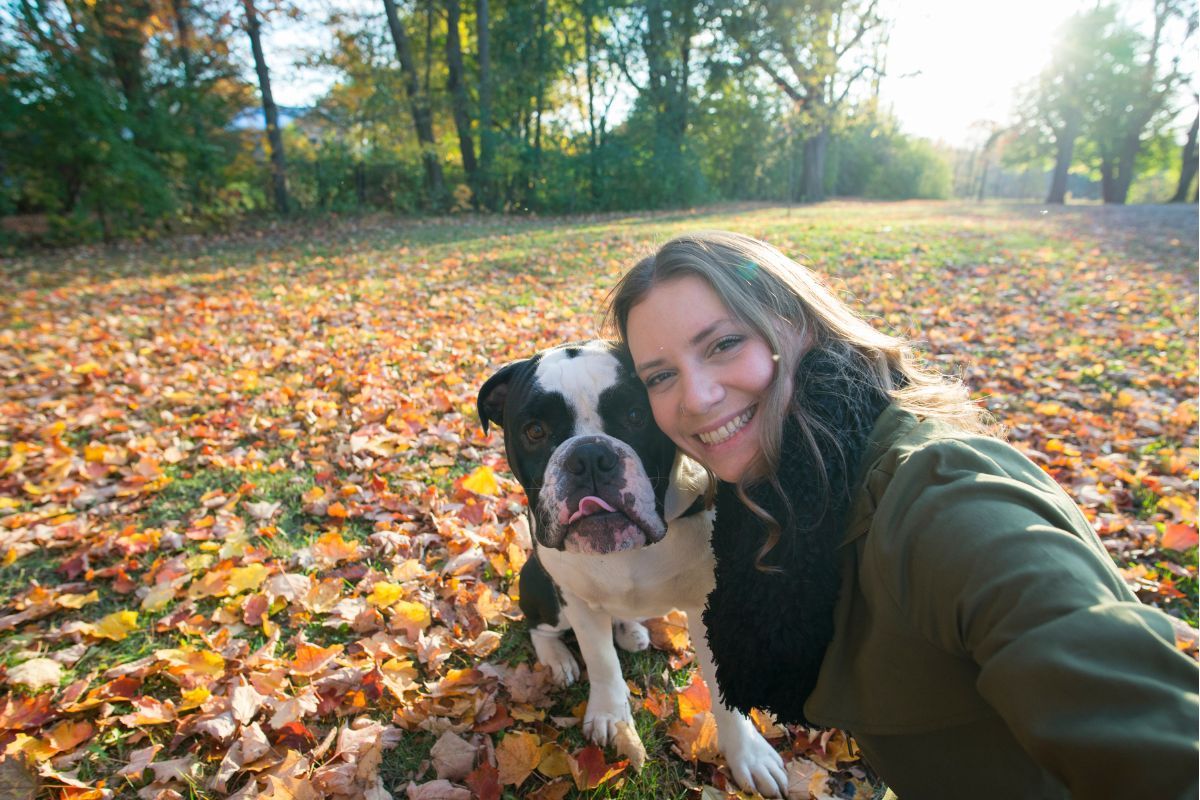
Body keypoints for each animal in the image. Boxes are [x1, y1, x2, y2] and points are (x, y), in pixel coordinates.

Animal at [477, 340, 787, 796]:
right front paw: (610, 715)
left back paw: (631, 630)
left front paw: (747, 752)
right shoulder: (576, 600)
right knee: (539, 627)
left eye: (637, 416)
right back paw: (559, 659)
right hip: (541, 584)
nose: (589, 455)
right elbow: (601, 660)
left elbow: (723, 691)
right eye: (534, 431)